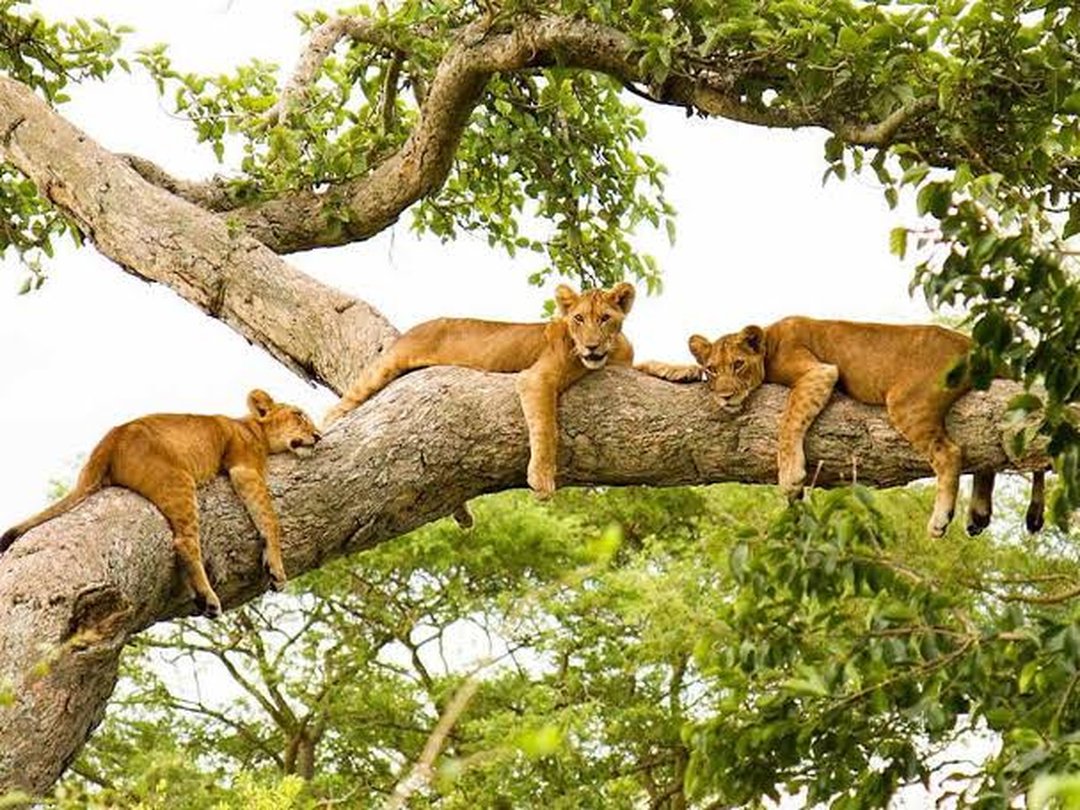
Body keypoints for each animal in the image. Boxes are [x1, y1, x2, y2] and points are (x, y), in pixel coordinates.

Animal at [0, 390, 321, 617]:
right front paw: (277, 570)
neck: (252, 427)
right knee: (184, 542)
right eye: (299, 415)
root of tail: (110, 439)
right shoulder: (245, 468)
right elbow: (270, 520)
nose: (318, 436)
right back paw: (208, 598)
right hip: (179, 479)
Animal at [323, 282, 636, 498]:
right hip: (387, 365)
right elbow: (546, 428)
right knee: (340, 405)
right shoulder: (536, 378)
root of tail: (417, 327)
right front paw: (542, 478)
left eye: (605, 318)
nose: (591, 346)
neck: (611, 352)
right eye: (579, 319)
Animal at [637, 316, 1045, 537]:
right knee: (986, 455)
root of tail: (975, 344)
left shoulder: (818, 371)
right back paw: (979, 513)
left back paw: (941, 519)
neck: (768, 338)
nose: (724, 396)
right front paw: (654, 366)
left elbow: (789, 422)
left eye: (738, 365)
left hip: (907, 402)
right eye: (712, 370)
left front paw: (790, 477)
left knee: (952, 453)